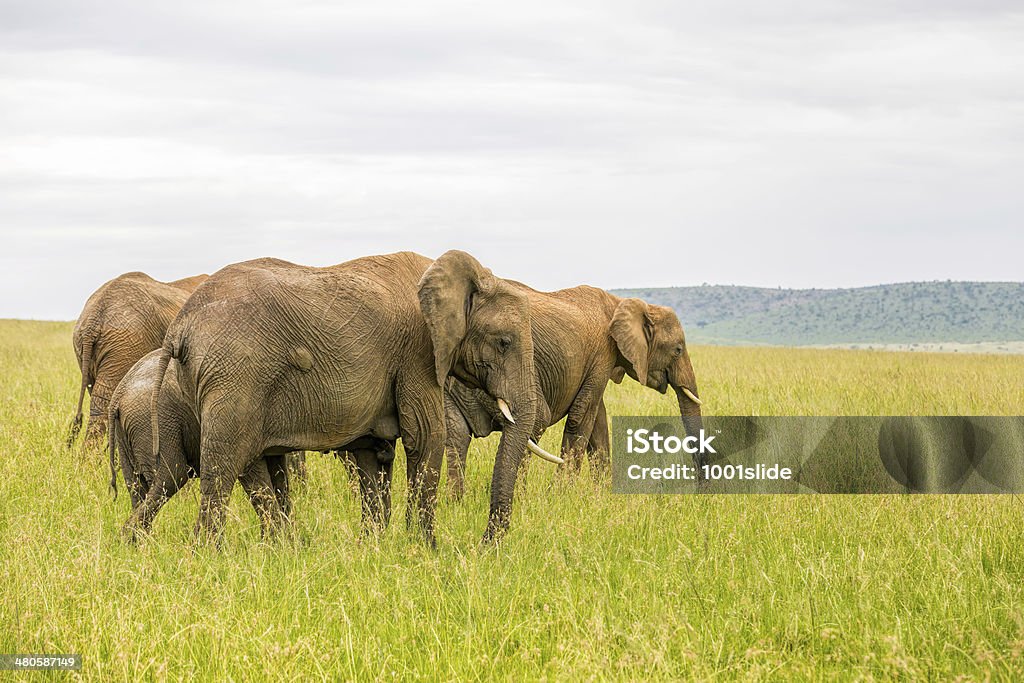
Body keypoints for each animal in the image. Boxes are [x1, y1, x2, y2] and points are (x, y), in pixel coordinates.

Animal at [109, 352, 290, 540]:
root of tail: (119, 394)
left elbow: (278, 471)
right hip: (152, 424)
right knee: (170, 476)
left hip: (125, 435)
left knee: (137, 487)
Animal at [132, 249, 557, 544]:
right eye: (504, 342)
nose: (484, 545)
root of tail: (180, 326)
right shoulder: (418, 353)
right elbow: (425, 437)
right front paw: (425, 549)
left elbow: (373, 455)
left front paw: (374, 548)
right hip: (235, 378)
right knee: (222, 468)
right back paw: (209, 554)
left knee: (221, 469)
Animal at [448, 286, 704, 499]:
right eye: (678, 349)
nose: (700, 488)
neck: (618, 303)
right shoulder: (603, 353)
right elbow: (582, 416)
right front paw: (560, 496)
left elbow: (598, 420)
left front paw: (603, 495)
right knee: (535, 422)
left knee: (458, 436)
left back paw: (456, 503)